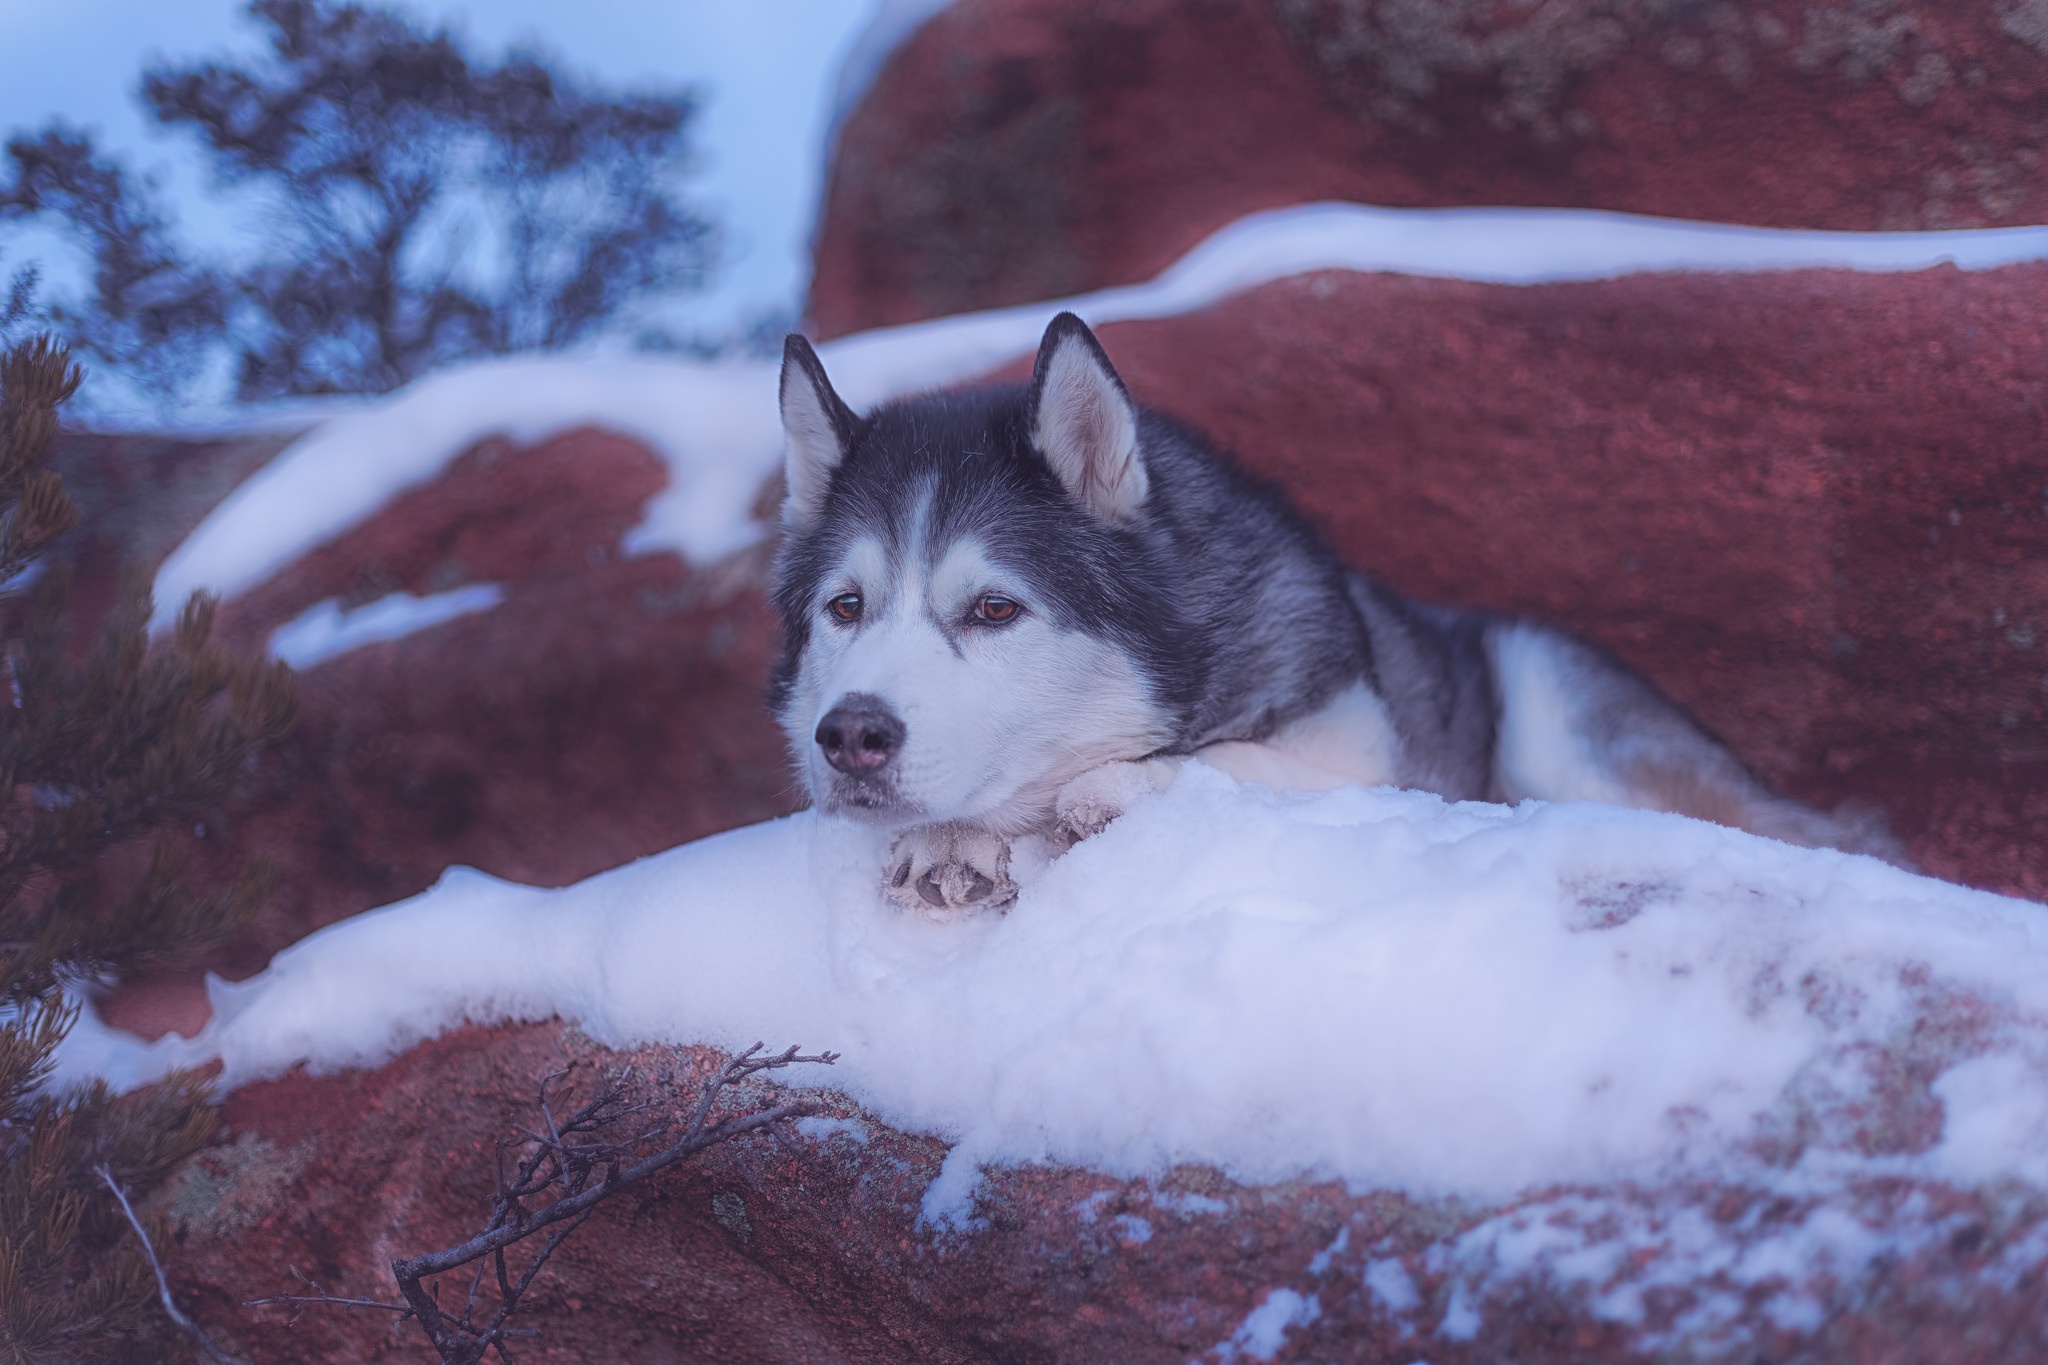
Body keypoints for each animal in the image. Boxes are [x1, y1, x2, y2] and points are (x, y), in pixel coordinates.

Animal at [770, 315, 1900, 912]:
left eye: (995, 607)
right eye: (846, 607)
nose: (852, 736)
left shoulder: (1364, 754)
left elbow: (1218, 762)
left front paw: (1104, 790)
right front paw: (953, 838)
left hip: (1555, 715)